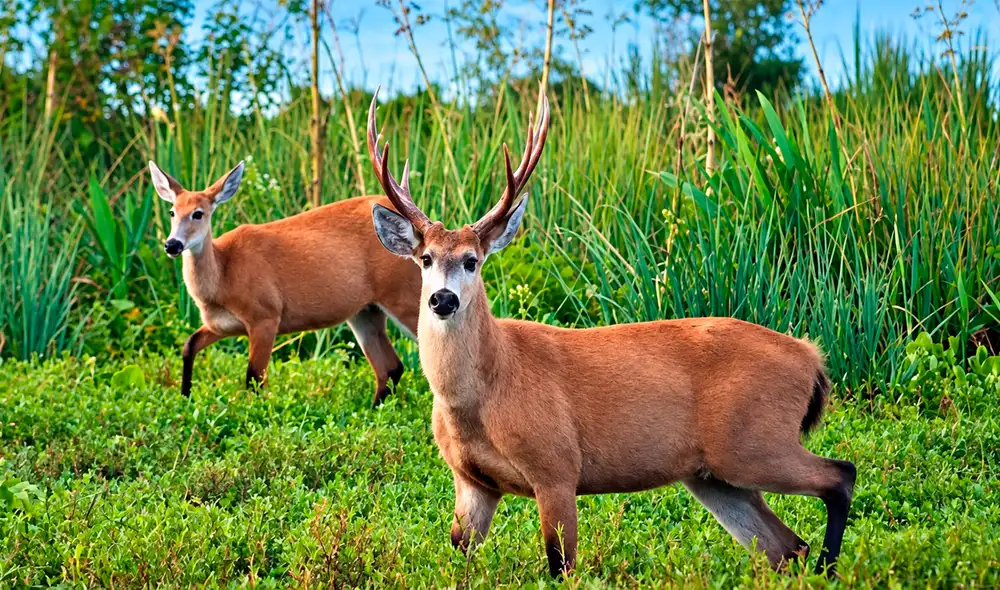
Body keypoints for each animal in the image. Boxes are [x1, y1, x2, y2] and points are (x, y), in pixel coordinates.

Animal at [148, 159, 421, 406]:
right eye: (172, 212)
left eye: (198, 213)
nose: (172, 244)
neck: (223, 276)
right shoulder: (221, 325)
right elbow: (189, 345)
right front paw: (185, 397)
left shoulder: (265, 315)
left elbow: (254, 378)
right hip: (365, 311)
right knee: (390, 367)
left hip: (404, 296)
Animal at [365, 88, 856, 578]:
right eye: (425, 258)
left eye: (472, 260)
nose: (443, 300)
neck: (485, 390)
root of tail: (811, 357)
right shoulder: (472, 482)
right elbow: (459, 556)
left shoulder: (557, 466)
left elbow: (560, 564)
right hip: (714, 475)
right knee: (788, 546)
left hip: (754, 440)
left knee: (839, 476)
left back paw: (833, 567)